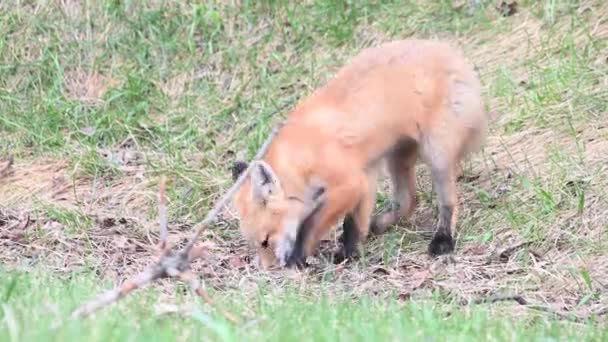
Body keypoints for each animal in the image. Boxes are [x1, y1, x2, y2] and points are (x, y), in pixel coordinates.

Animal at [230, 38, 486, 268]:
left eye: (265, 241)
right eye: (256, 245)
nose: (269, 270)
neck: (302, 158)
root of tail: (453, 54)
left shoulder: (349, 182)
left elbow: (313, 226)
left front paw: (300, 257)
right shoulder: (365, 176)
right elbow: (354, 224)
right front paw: (349, 252)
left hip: (436, 154)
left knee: (448, 202)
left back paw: (443, 239)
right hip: (396, 157)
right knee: (408, 200)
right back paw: (379, 225)